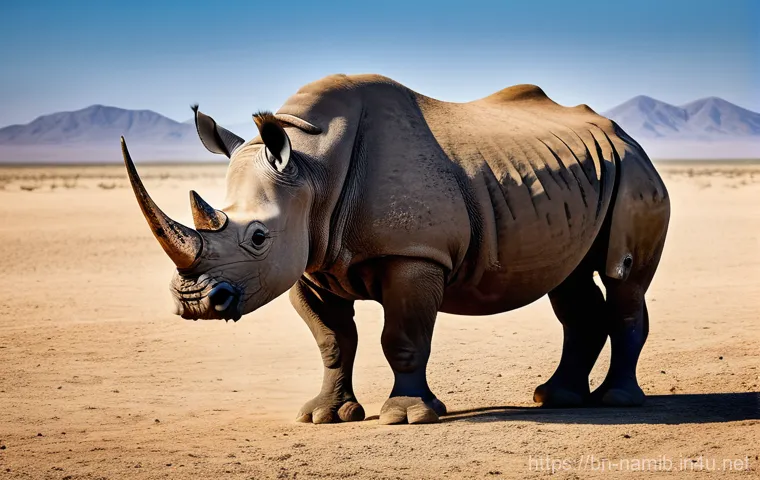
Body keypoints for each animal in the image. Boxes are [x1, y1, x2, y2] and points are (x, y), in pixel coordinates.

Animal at [121, 74, 669, 424]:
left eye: (257, 237)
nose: (195, 303)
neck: (311, 168)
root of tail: (625, 135)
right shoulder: (307, 260)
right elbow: (332, 341)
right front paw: (325, 416)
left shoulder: (415, 254)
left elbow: (403, 337)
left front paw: (407, 417)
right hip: (581, 178)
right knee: (570, 282)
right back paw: (555, 398)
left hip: (636, 172)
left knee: (623, 280)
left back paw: (616, 402)